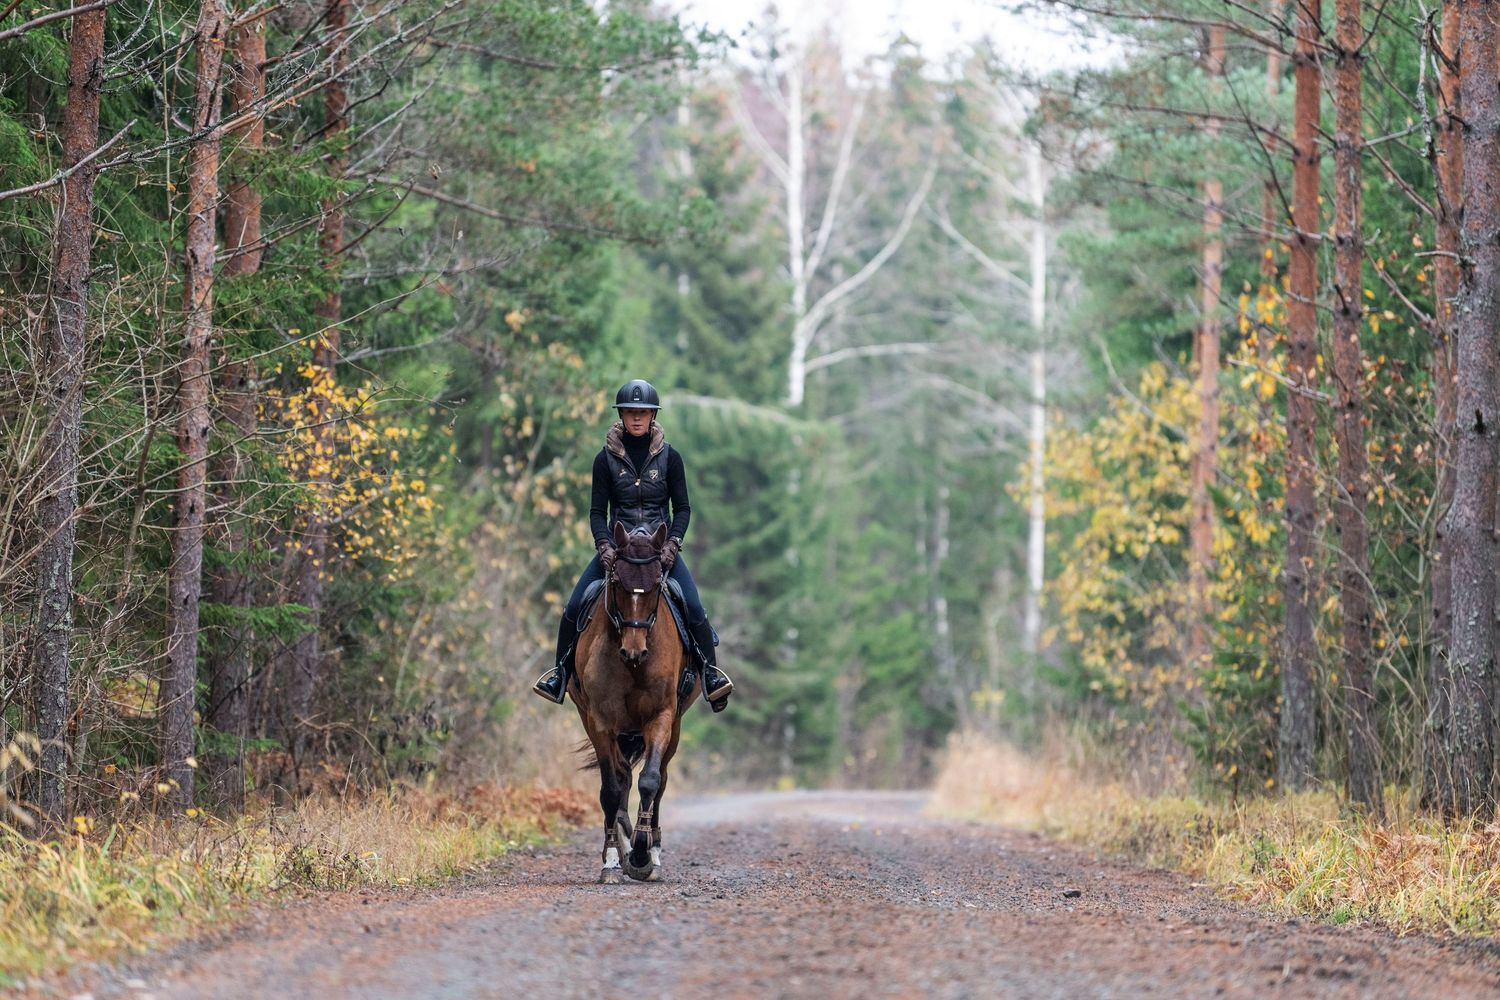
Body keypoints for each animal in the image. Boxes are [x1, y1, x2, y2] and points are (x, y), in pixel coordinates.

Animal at [571, 521, 699, 883]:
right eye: (617, 581)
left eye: (656, 585)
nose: (634, 650)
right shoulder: (600, 721)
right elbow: (612, 788)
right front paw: (614, 858)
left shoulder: (661, 716)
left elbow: (650, 780)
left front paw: (642, 855)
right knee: (621, 775)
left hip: (674, 726)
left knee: (661, 779)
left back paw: (652, 850)